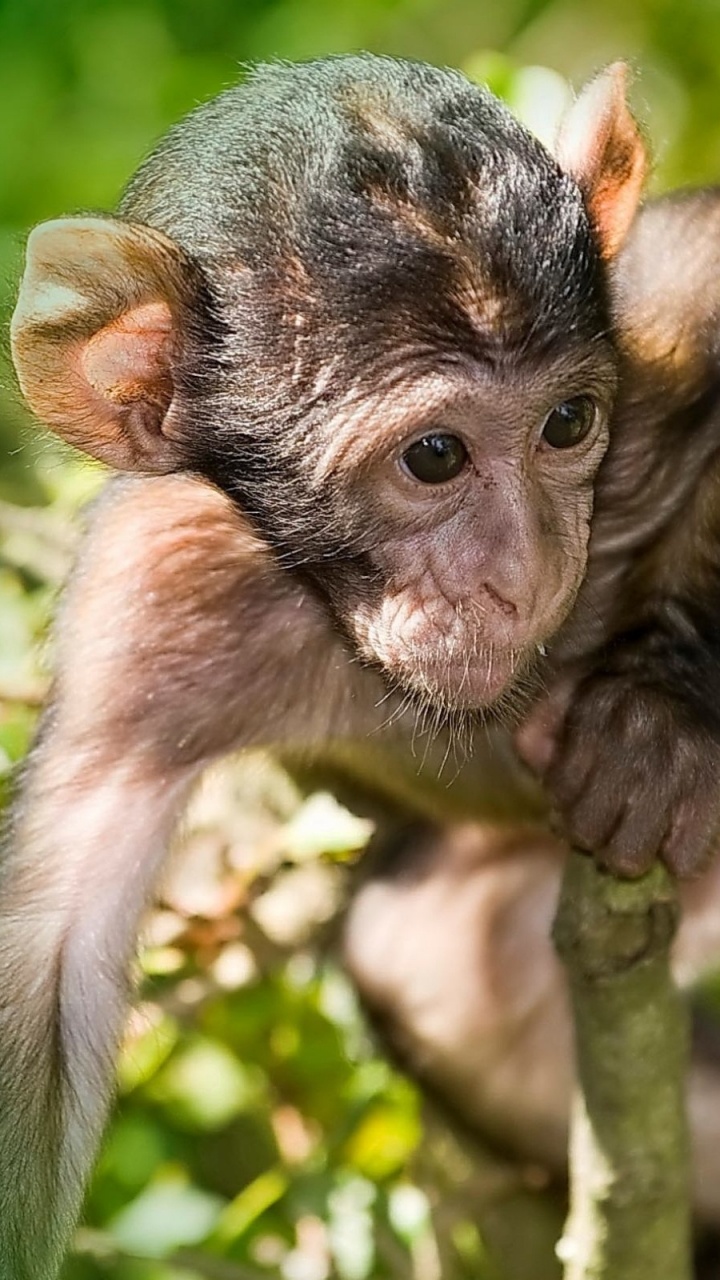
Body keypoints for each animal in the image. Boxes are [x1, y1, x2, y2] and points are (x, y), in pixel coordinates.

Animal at [3, 54, 645, 1279]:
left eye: (568, 423)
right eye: (434, 456)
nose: (526, 574)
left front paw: (660, 726)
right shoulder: (153, 589)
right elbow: (45, 973)